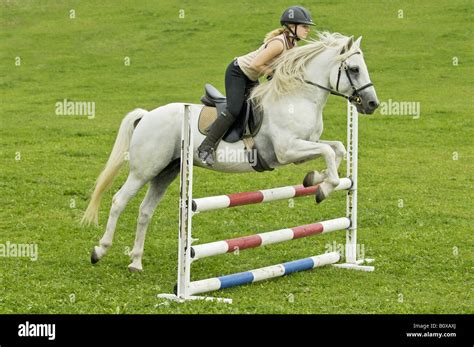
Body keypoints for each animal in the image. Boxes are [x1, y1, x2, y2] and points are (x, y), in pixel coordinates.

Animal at [80, 32, 378, 272]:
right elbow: (329, 154)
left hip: (167, 171)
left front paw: (314, 179)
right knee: (119, 201)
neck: (296, 97)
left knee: (145, 211)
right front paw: (323, 188)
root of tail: (147, 115)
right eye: (354, 69)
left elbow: (337, 149)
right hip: (145, 170)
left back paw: (136, 261)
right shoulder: (287, 150)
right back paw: (99, 250)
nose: (372, 104)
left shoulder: (303, 146)